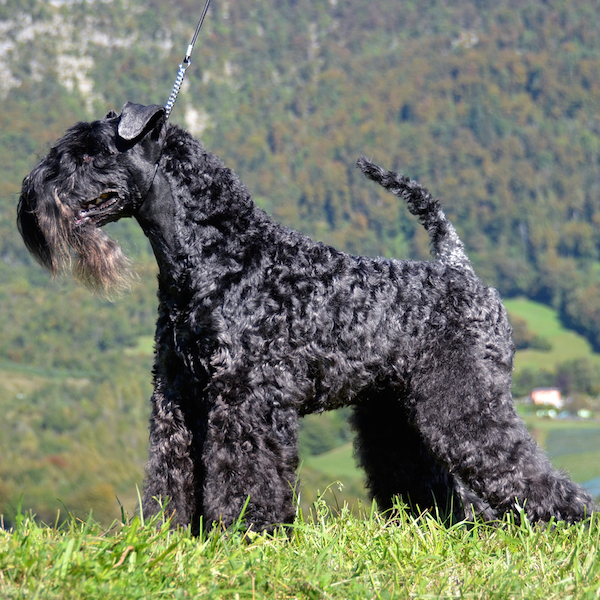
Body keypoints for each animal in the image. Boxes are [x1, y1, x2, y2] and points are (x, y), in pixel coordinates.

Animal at [16, 103, 592, 528]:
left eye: (89, 155)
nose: (28, 198)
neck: (219, 253)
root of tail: (460, 269)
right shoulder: (176, 395)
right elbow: (171, 469)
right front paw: (170, 534)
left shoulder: (245, 396)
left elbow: (246, 473)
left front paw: (248, 533)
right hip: (397, 410)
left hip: (466, 398)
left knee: (516, 464)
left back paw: (569, 521)